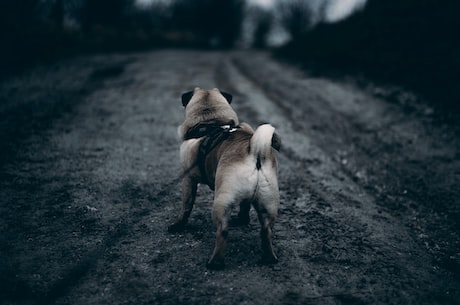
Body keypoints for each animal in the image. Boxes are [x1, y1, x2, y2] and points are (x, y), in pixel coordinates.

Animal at [169, 86, 280, 268]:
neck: (212, 122)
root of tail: (255, 152)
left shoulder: (188, 179)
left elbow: (186, 206)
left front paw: (178, 225)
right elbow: (244, 206)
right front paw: (242, 219)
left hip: (221, 202)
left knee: (222, 231)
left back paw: (215, 262)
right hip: (268, 203)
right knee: (266, 230)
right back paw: (268, 257)